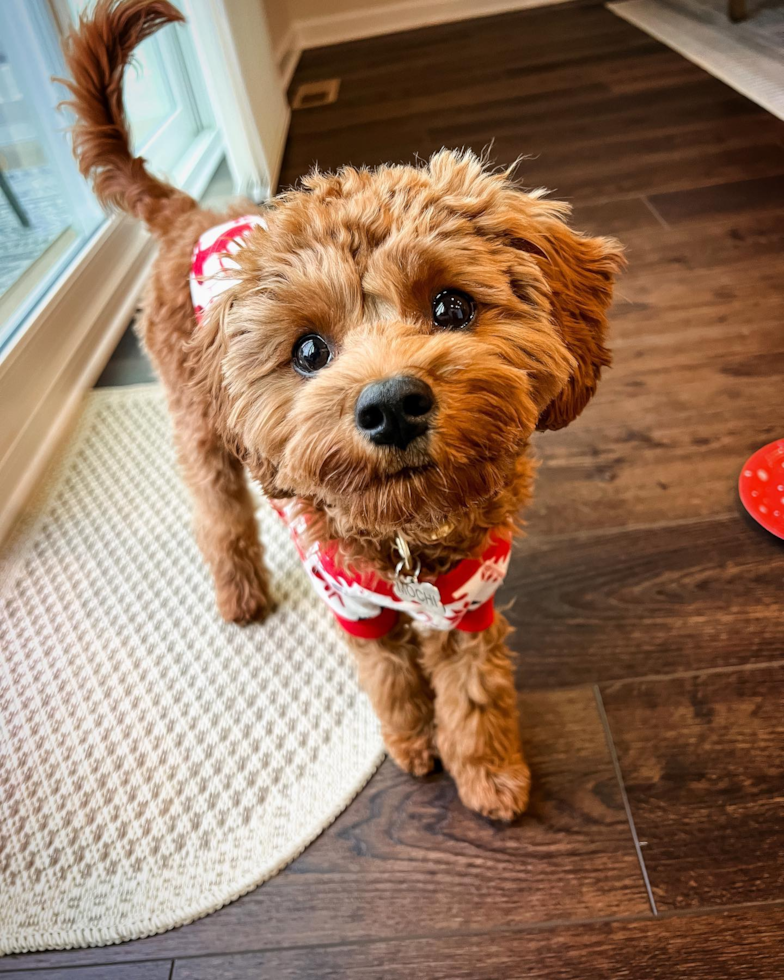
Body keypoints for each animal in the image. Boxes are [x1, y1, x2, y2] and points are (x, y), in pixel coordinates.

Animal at [62, 0, 624, 820]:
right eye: (307, 351)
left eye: (452, 306)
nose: (391, 405)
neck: (409, 536)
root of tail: (188, 217)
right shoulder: (355, 608)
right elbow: (391, 680)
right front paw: (413, 743)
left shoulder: (469, 605)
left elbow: (474, 690)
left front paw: (488, 772)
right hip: (202, 429)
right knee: (219, 514)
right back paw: (240, 595)